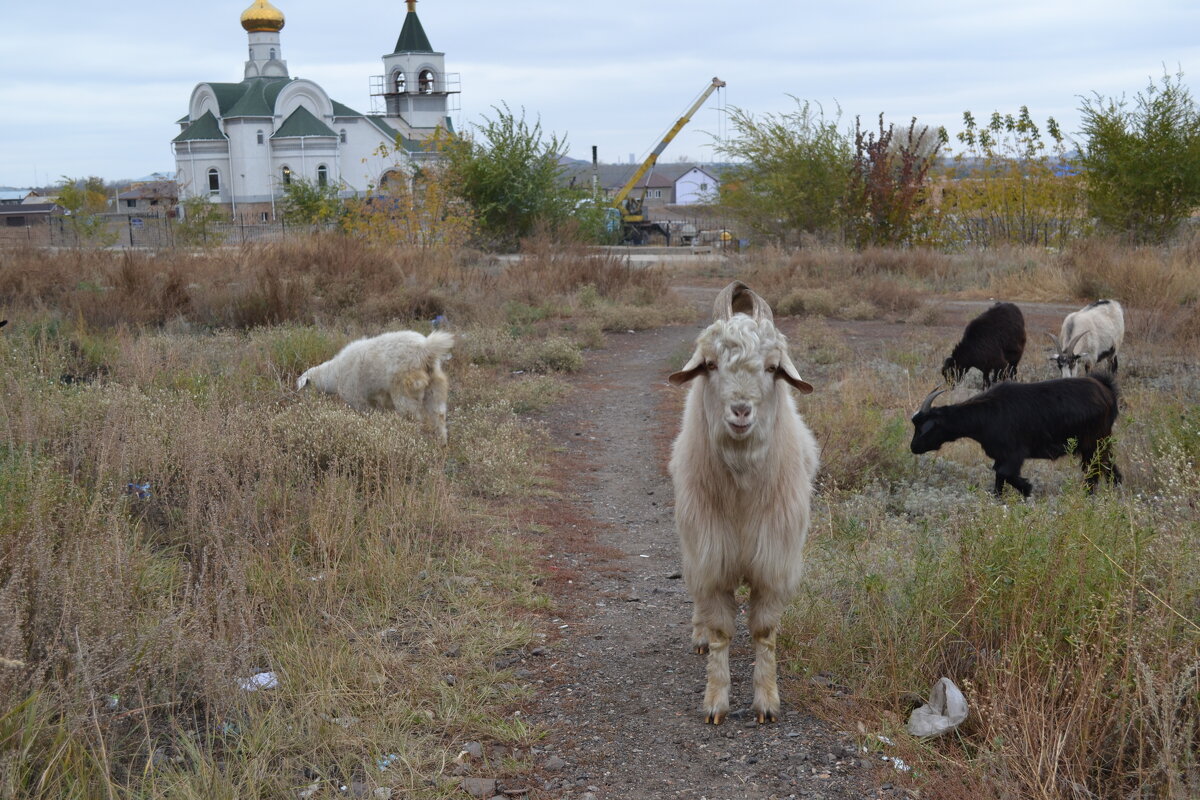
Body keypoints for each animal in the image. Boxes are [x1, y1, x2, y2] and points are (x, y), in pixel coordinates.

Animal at [295, 331, 453, 443]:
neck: (334, 374)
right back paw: (441, 445)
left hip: (405, 391)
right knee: (439, 418)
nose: (304, 402)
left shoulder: (359, 400)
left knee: (416, 419)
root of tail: (425, 349)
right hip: (434, 389)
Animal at [672, 283, 820, 724]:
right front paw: (715, 701)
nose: (740, 411)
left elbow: (764, 632)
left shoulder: (774, 561)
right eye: (710, 364)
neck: (741, 488)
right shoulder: (712, 558)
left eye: (772, 368)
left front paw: (766, 702)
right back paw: (699, 635)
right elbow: (721, 630)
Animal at [907, 371, 1123, 496]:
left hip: (1093, 442)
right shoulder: (1000, 455)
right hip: (1099, 443)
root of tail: (1106, 390)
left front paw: (1028, 489)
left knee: (1095, 469)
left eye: (925, 426)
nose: (913, 447)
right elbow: (998, 477)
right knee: (1108, 467)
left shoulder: (1014, 454)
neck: (987, 414)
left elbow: (1005, 473)